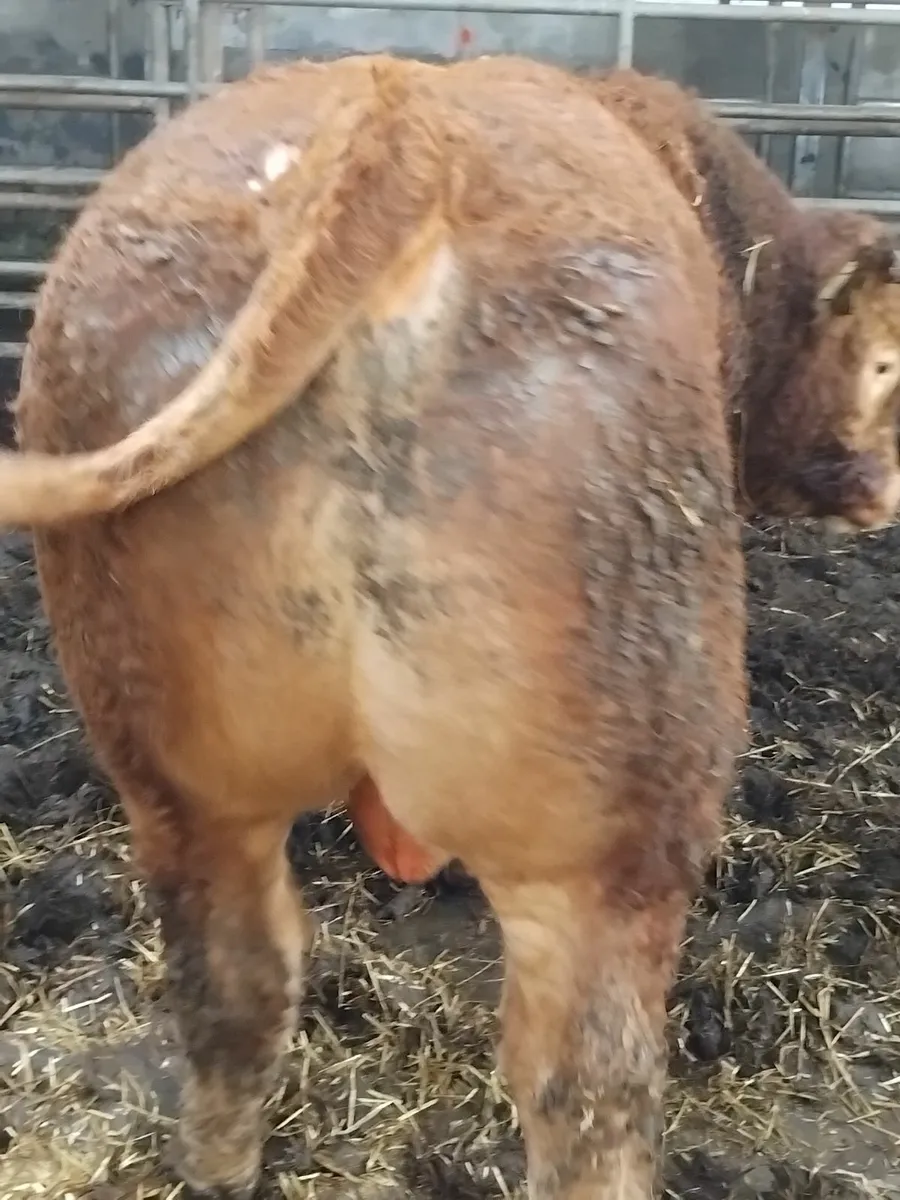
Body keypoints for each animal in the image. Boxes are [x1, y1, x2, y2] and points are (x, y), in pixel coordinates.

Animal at [0, 53, 896, 1199]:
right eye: (884, 364)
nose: (883, 491)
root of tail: (399, 122)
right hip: (619, 801)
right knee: (585, 1081)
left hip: (172, 757)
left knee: (231, 983)